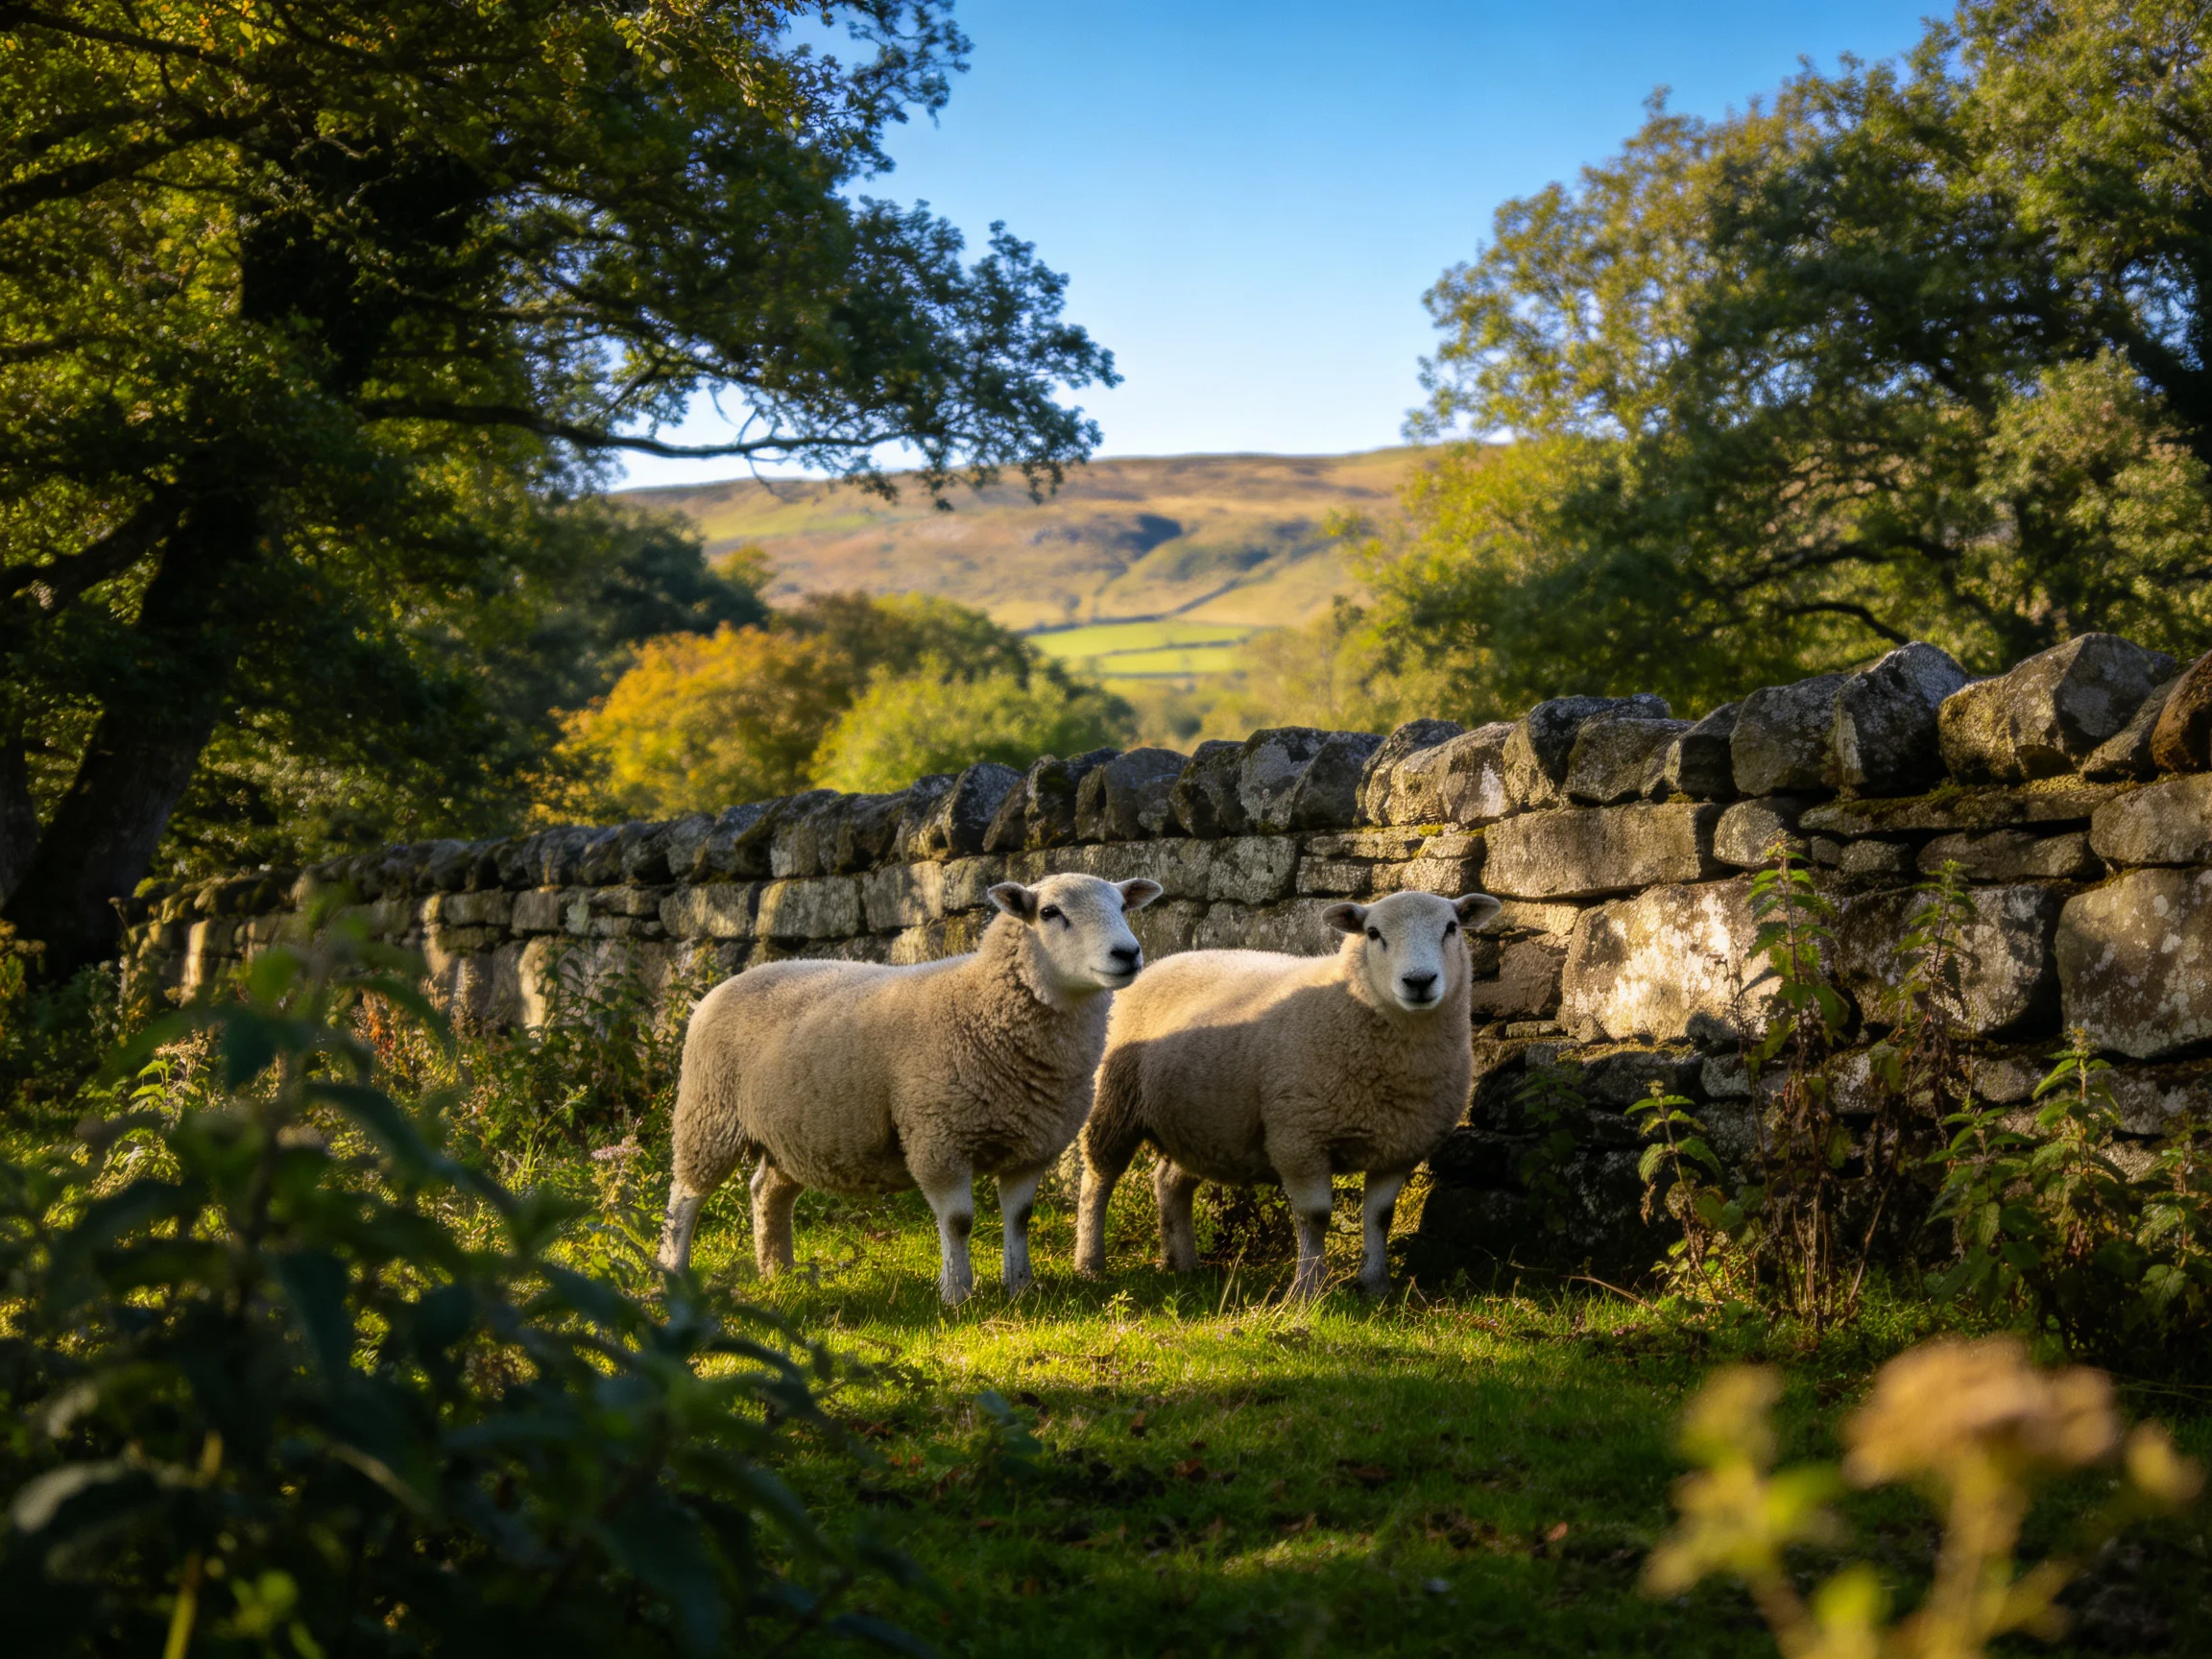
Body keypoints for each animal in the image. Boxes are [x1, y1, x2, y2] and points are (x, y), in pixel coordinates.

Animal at [658, 872, 1162, 1304]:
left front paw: (1021, 1288)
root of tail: (732, 981)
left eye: (1121, 906)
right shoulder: (938, 1138)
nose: (1128, 954)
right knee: (684, 1198)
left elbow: (1020, 1218)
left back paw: (778, 1272)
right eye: (1050, 912)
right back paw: (671, 1270)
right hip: (709, 1116)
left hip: (793, 1133)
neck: (981, 1003)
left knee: (767, 1192)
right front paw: (957, 1294)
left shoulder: (1032, 1145)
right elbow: (958, 1222)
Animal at [1074, 888, 1501, 1299]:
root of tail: (1161, 962)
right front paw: (1307, 1290)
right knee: (1097, 1181)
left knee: (1169, 1181)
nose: (1419, 981)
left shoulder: (1399, 1146)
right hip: (1111, 1104)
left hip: (1201, 1127)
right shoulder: (1299, 1139)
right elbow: (1315, 1216)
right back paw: (1090, 1263)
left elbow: (1380, 1217)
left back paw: (1182, 1263)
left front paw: (1376, 1287)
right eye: (1373, 933)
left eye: (1451, 927)